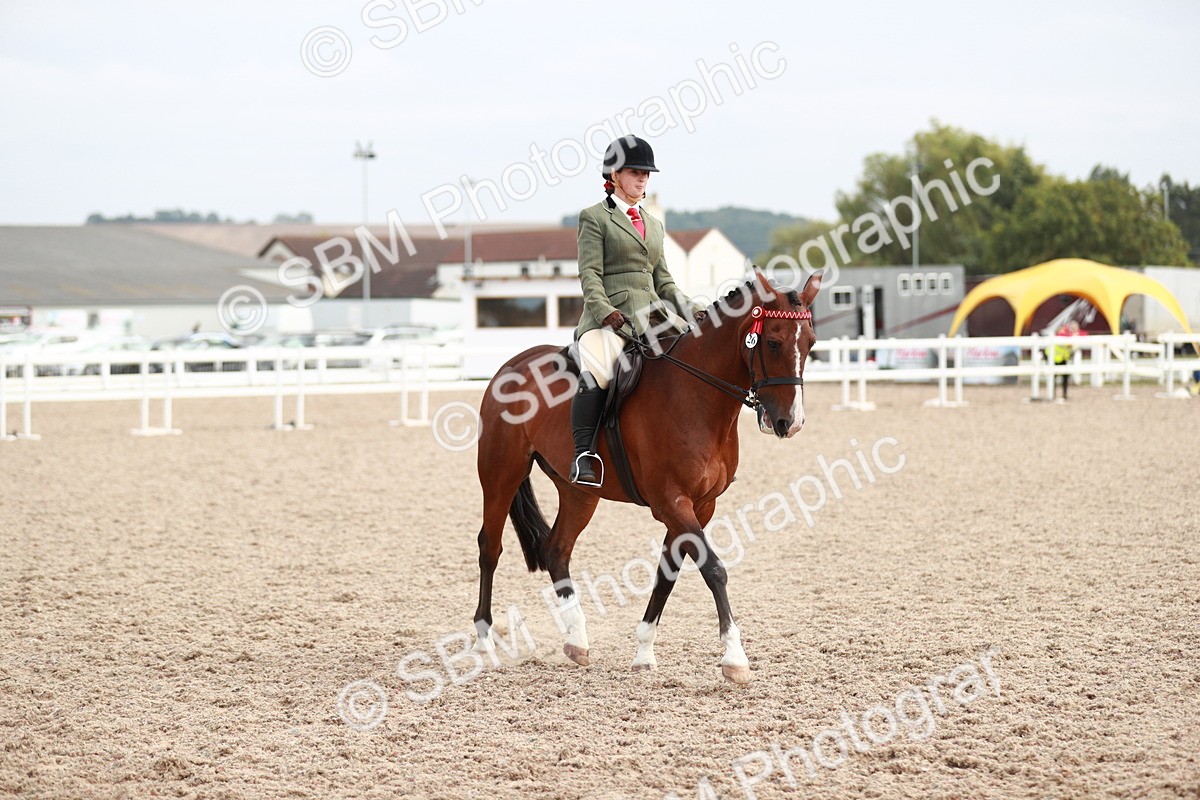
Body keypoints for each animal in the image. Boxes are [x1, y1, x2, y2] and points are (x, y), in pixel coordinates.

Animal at [471, 267, 822, 683]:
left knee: (556, 549)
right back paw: (483, 641)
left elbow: (667, 574)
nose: (791, 422)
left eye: (811, 344)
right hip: (500, 473)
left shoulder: (699, 506)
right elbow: (714, 569)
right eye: (772, 343)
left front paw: (643, 653)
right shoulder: (672, 501)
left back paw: (577, 640)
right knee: (490, 548)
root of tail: (513, 364)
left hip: (579, 492)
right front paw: (735, 658)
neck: (696, 395)